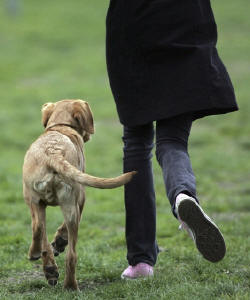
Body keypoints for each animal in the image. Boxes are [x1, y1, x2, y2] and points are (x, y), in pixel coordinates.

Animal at [23, 99, 137, 290]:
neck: (61, 126)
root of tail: (53, 153)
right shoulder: (81, 200)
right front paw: (59, 244)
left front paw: (51, 261)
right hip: (67, 204)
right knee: (68, 251)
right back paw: (68, 283)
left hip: (35, 199)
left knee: (40, 229)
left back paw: (51, 269)